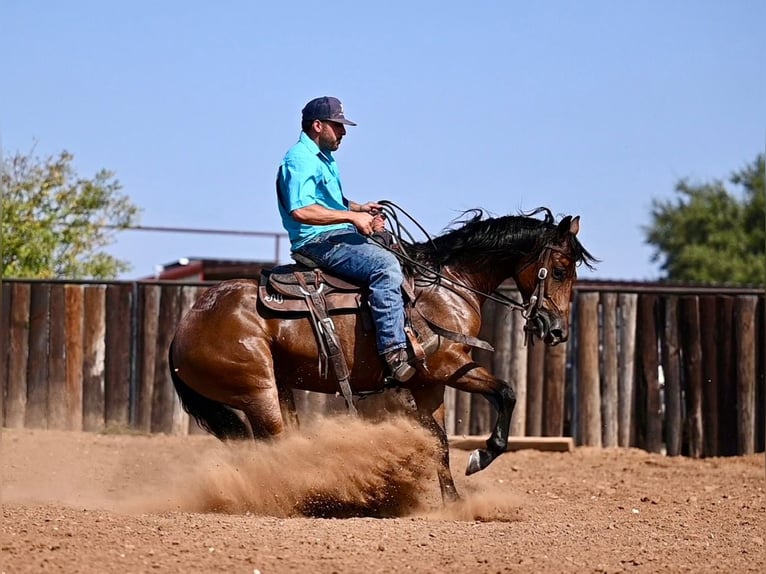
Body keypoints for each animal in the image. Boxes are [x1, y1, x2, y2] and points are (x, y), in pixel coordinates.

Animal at [171, 208, 596, 504]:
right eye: (560, 270)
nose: (557, 331)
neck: (446, 287)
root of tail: (183, 329)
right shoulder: (451, 366)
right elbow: (507, 392)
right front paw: (481, 456)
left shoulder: (429, 384)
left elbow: (440, 442)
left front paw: (453, 502)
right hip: (258, 391)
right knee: (274, 444)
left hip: (279, 389)